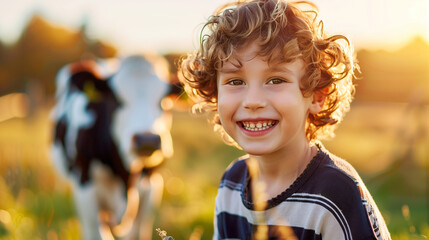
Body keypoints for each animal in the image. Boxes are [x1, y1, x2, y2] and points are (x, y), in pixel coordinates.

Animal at [50, 54, 177, 240]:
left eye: (164, 100)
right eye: (117, 99)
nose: (147, 140)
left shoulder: (152, 184)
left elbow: (138, 229)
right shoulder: (84, 184)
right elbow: (96, 231)